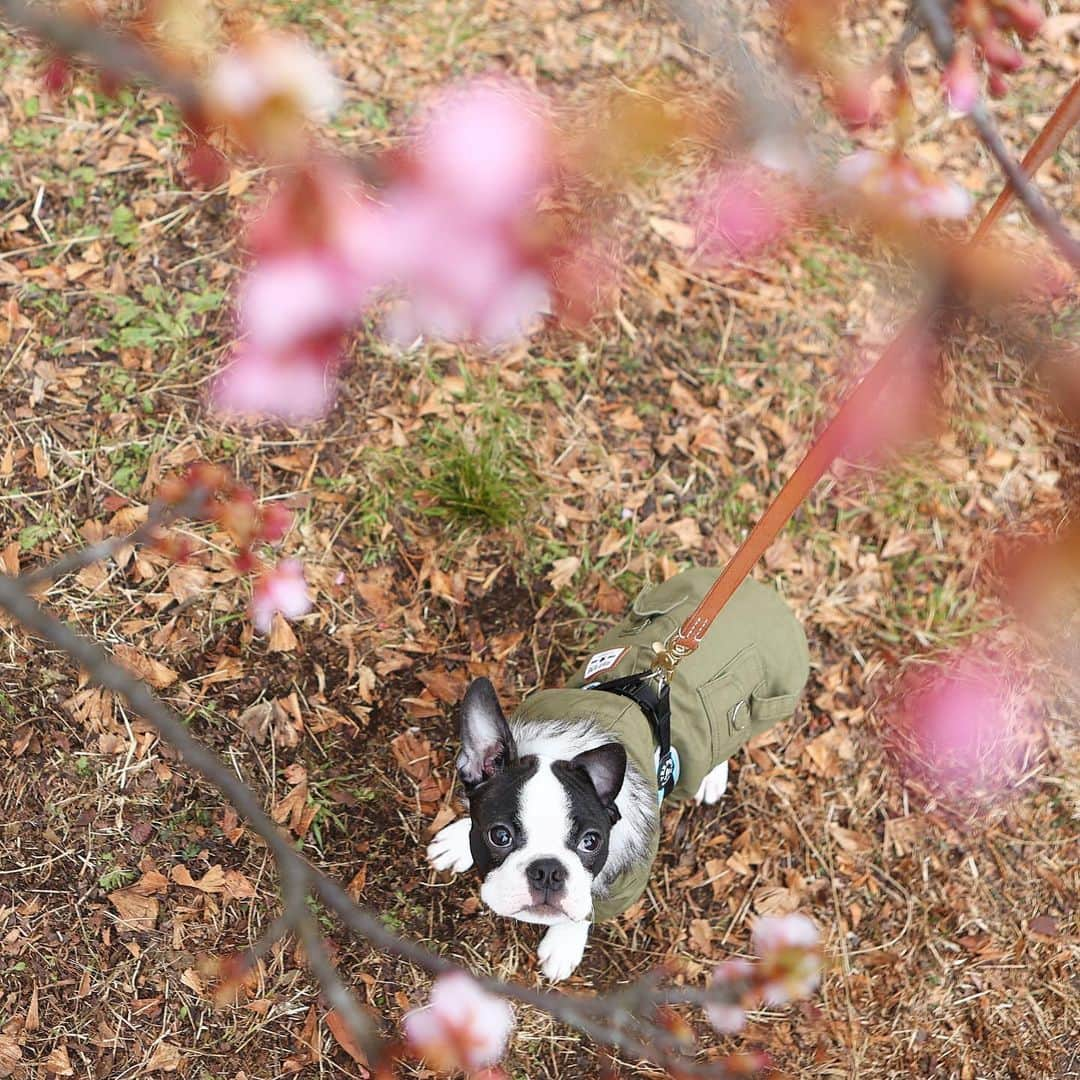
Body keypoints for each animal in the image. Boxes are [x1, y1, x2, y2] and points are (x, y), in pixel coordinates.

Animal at [425, 570, 807, 984]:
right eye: (499, 836)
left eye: (591, 842)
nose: (548, 871)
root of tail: (762, 592)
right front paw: (459, 841)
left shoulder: (622, 884)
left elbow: (588, 908)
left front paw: (564, 943)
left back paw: (711, 776)